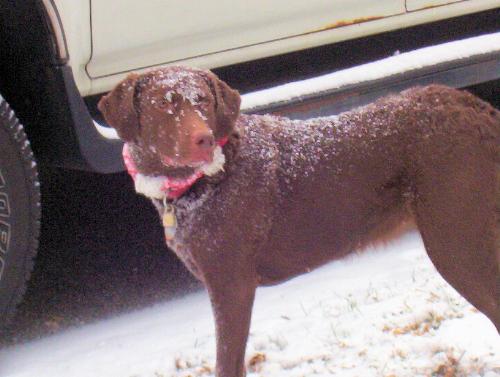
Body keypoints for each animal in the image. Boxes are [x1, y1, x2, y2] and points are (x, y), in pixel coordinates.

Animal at [97, 67, 500, 376]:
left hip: (457, 242)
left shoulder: (231, 285)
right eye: (164, 104)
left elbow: (227, 363)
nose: (204, 140)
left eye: (204, 102)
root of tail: (475, 107)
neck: (201, 184)